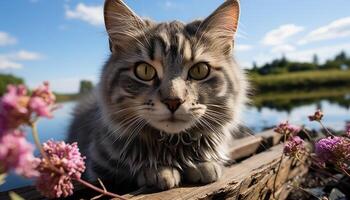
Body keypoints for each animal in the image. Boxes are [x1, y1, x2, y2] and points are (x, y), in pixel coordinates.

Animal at [67, 0, 249, 191]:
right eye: (145, 71)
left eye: (200, 70)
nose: (173, 101)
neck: (173, 145)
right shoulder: (99, 168)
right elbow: (129, 169)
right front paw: (158, 171)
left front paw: (203, 164)